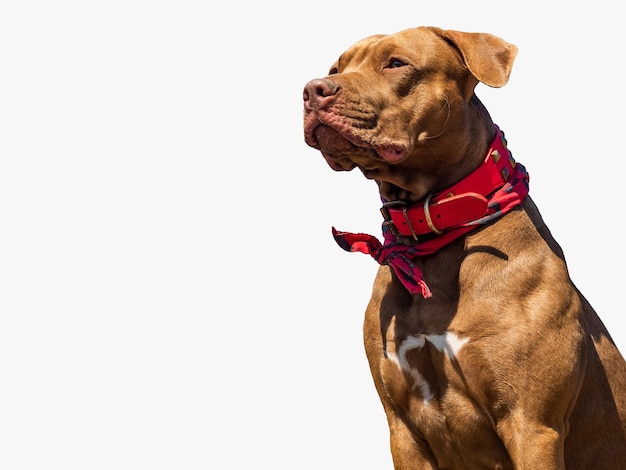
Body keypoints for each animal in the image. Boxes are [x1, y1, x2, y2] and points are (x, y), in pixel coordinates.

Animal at [302, 25, 624, 470]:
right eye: (336, 68)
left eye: (396, 63)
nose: (313, 90)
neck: (431, 241)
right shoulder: (403, 431)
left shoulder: (532, 425)